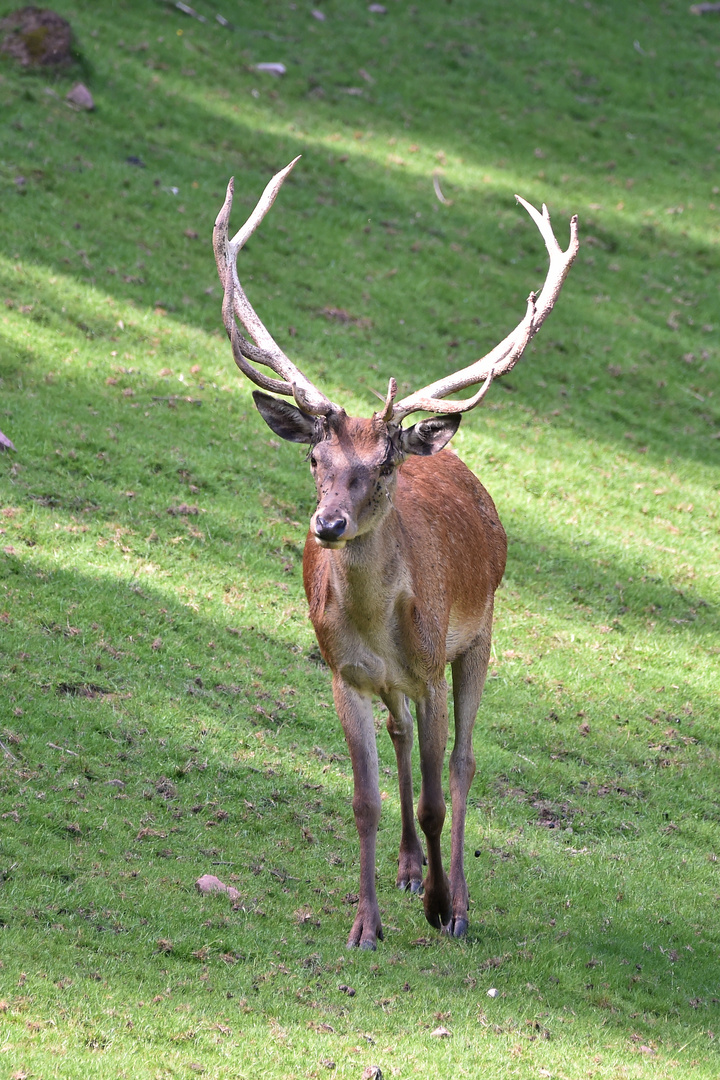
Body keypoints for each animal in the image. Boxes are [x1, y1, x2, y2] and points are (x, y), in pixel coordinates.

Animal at [211, 157, 578, 946]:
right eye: (315, 457)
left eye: (382, 466)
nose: (328, 524)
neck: (378, 626)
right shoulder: (342, 673)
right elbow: (365, 800)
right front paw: (365, 923)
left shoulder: (435, 664)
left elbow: (442, 795)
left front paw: (445, 908)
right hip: (396, 680)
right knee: (402, 732)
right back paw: (410, 869)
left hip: (480, 635)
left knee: (463, 763)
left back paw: (454, 895)